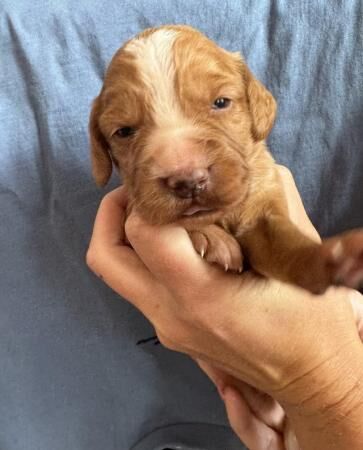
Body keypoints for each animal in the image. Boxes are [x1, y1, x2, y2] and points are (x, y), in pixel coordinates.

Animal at [89, 26, 363, 298]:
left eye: (221, 102)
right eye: (124, 131)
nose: (188, 180)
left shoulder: (261, 211)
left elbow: (286, 246)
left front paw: (337, 258)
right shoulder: (133, 212)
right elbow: (185, 221)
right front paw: (211, 237)